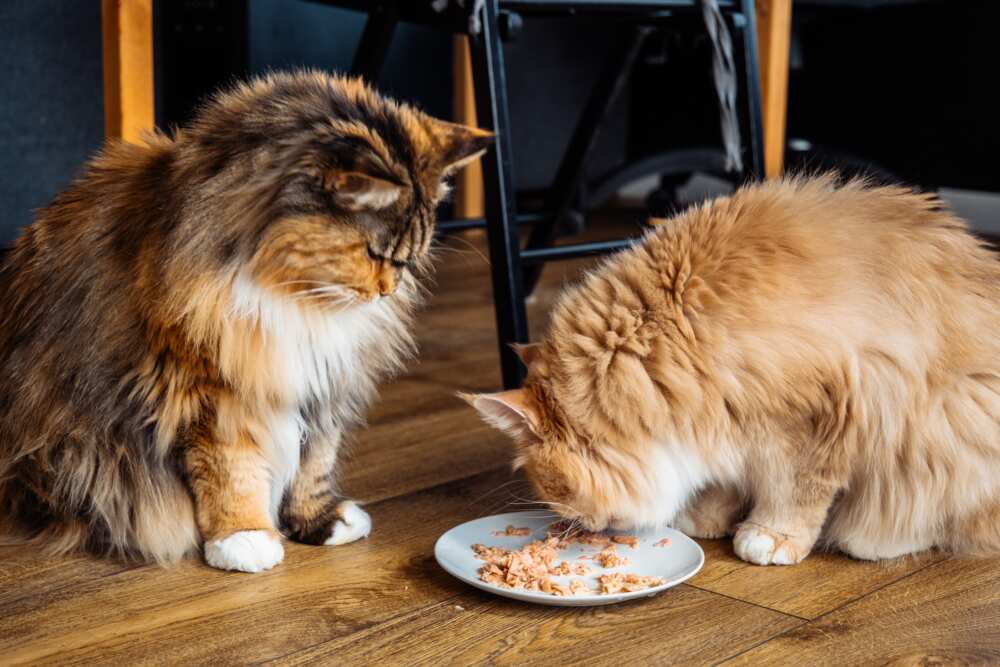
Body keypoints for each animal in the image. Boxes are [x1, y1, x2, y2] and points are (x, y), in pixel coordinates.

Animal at [0, 70, 492, 572]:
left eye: (408, 258)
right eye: (375, 253)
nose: (387, 290)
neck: (296, 296)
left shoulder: (324, 380)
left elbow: (316, 459)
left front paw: (322, 523)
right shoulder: (213, 390)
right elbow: (232, 472)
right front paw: (245, 538)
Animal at [466, 176, 1000, 564]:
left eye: (557, 491)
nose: (584, 527)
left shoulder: (816, 419)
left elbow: (795, 491)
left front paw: (770, 536)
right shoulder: (722, 416)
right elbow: (724, 476)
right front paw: (705, 516)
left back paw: (875, 541)